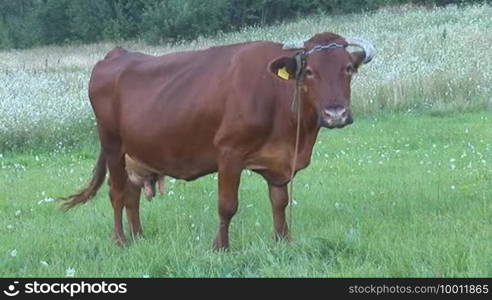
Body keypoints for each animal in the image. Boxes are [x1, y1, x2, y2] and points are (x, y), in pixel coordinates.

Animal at [63, 32, 374, 251]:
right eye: (309, 72)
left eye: (349, 68)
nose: (336, 114)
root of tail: (116, 54)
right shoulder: (229, 152)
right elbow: (227, 205)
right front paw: (220, 247)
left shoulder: (279, 160)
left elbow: (280, 202)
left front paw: (283, 240)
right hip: (112, 145)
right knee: (116, 194)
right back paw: (120, 241)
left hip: (137, 153)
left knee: (131, 195)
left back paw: (139, 237)